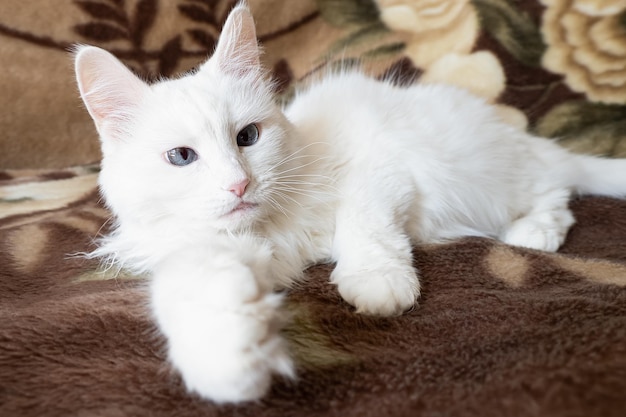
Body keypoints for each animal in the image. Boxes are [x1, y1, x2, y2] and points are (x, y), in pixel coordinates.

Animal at [74, 3, 624, 404]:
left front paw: (378, 287)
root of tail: (516, 135)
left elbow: (366, 231)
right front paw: (229, 359)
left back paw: (534, 233)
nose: (239, 185)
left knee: (557, 187)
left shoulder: (378, 176)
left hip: (491, 177)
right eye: (181, 157)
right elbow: (200, 293)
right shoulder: (217, 251)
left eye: (247, 136)